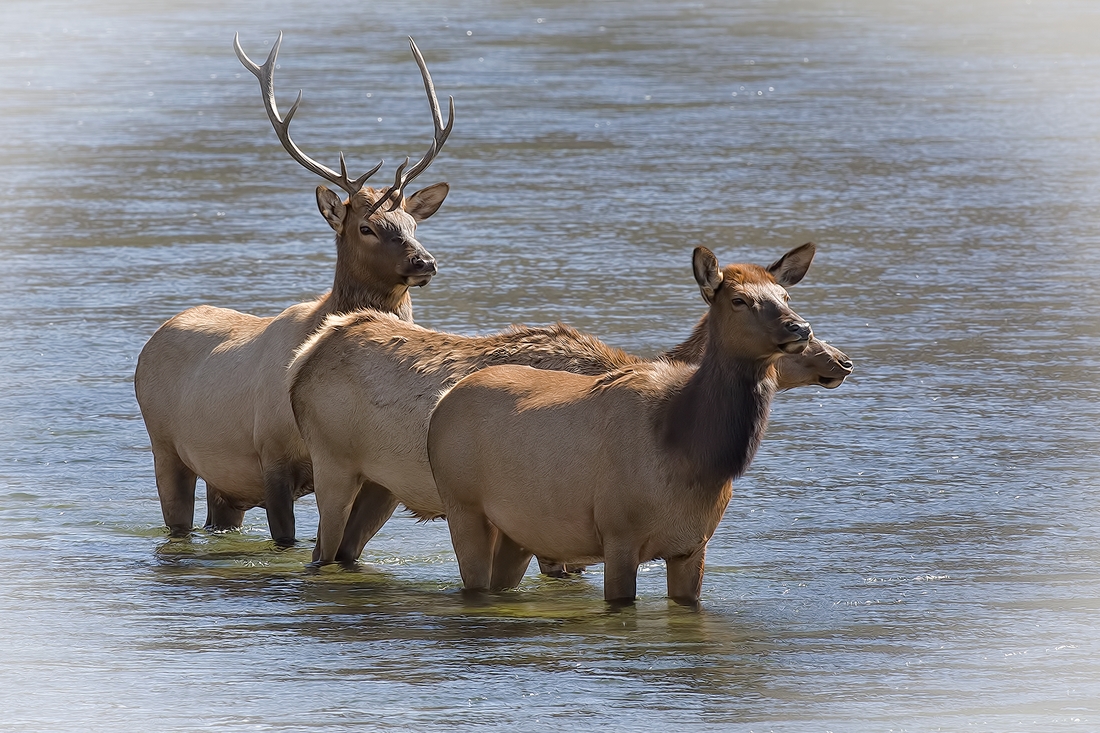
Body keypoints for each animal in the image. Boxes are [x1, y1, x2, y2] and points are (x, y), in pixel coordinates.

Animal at [132, 35, 451, 548]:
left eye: (411, 222)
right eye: (366, 227)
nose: (424, 262)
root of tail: (152, 340)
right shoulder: (272, 457)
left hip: (224, 482)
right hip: (165, 447)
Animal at [420, 242, 818, 603]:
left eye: (785, 295)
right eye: (738, 300)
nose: (800, 327)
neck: (691, 454)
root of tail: (442, 402)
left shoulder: (693, 545)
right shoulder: (618, 534)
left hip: (516, 530)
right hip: (463, 506)